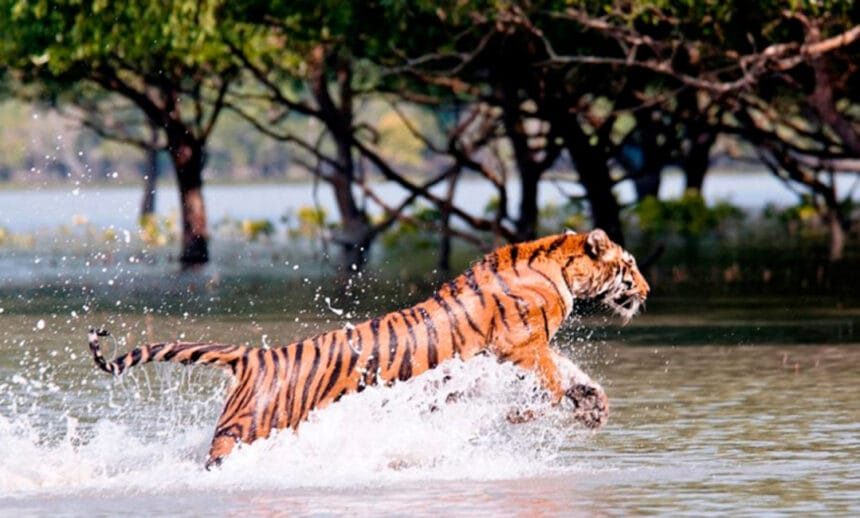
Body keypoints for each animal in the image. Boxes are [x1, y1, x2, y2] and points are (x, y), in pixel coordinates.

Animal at [87, 228, 649, 469]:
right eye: (630, 265)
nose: (645, 290)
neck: (559, 264)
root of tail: (254, 356)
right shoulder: (519, 346)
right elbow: (550, 386)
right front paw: (527, 414)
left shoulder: (530, 348)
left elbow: (572, 374)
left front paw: (593, 406)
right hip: (246, 430)